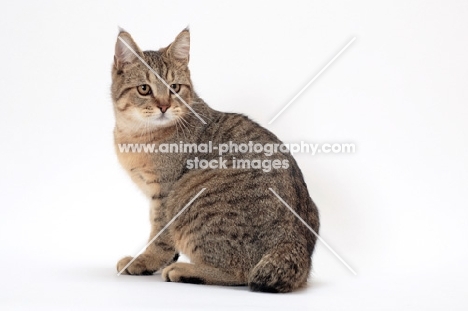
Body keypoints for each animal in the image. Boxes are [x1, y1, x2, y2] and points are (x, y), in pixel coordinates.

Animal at [111, 28, 320, 294]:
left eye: (175, 87)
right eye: (144, 89)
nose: (164, 106)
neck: (135, 134)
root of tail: (293, 242)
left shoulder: (165, 194)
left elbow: (160, 236)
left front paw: (145, 260)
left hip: (188, 197)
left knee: (242, 273)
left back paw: (186, 271)